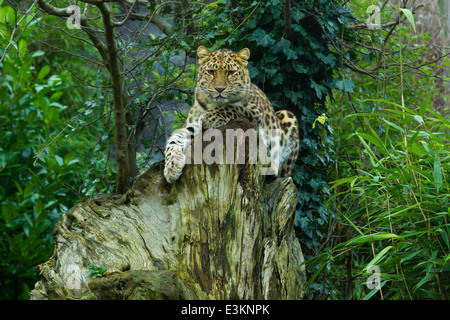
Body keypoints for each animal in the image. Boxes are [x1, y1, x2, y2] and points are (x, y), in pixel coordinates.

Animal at [163, 46, 298, 184]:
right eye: (211, 72)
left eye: (231, 72)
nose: (219, 89)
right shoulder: (192, 124)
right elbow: (174, 140)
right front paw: (172, 167)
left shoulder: (255, 112)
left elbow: (230, 106)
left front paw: (210, 117)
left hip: (287, 116)